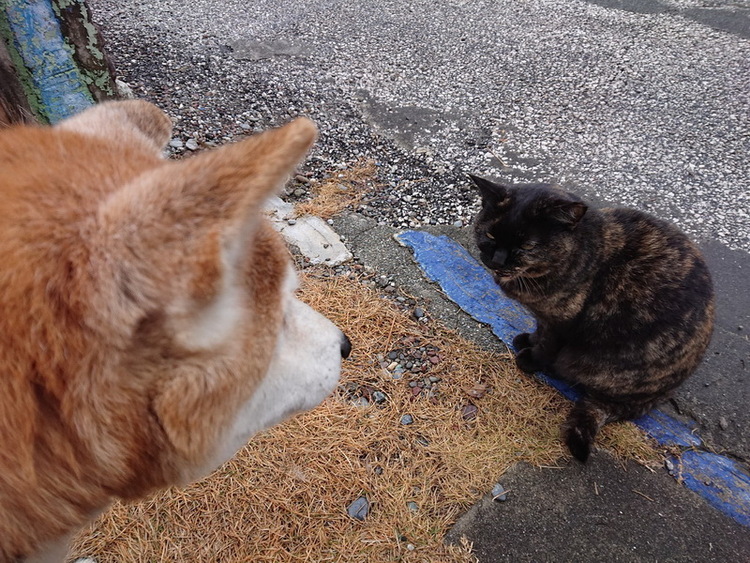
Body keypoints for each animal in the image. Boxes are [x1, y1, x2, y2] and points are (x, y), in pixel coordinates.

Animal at [471, 174, 714, 462]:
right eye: (489, 234)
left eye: (527, 246)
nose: (497, 261)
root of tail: (660, 395)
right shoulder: (545, 316)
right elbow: (539, 329)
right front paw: (527, 339)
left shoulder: (562, 323)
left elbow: (547, 345)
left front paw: (531, 359)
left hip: (594, 363)